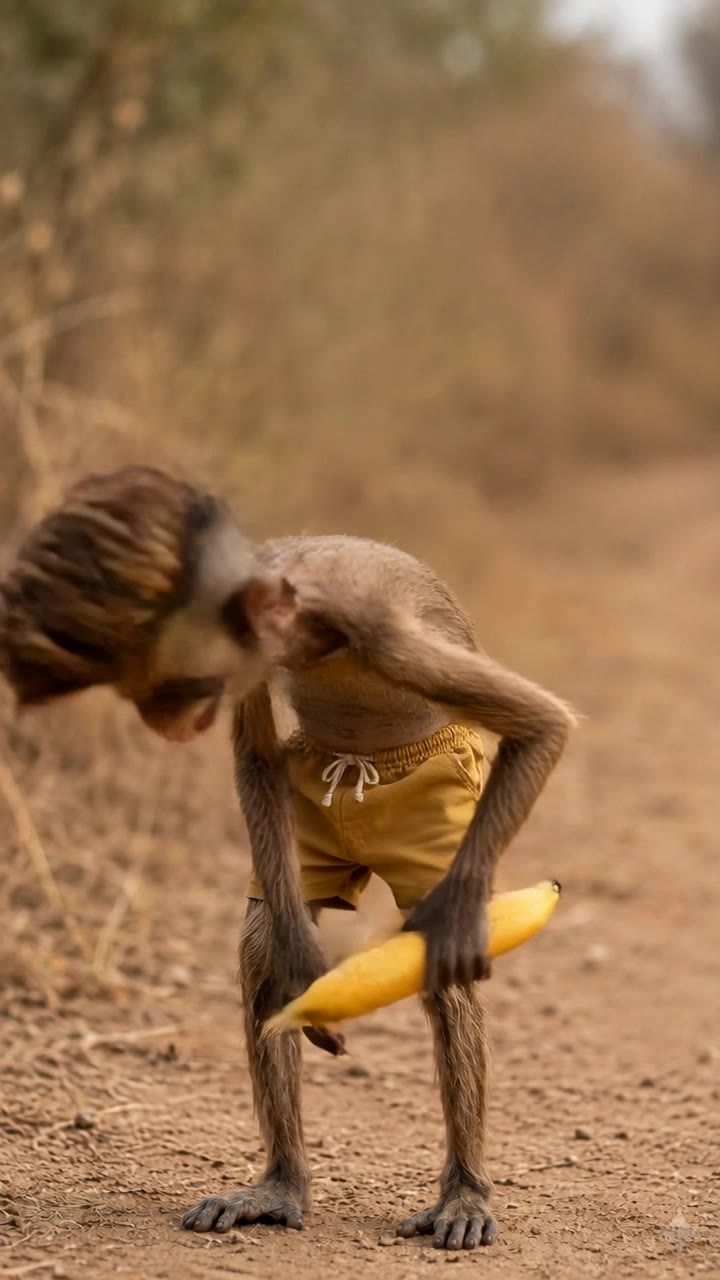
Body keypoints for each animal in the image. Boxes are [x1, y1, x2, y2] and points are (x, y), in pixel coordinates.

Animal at [0, 466, 575, 1251]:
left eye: (175, 686)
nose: (167, 723)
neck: (301, 599)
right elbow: (257, 763)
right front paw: (305, 971)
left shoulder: (387, 632)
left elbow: (544, 726)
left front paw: (453, 919)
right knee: (259, 941)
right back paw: (281, 1184)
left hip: (445, 814)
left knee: (445, 973)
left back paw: (463, 1193)